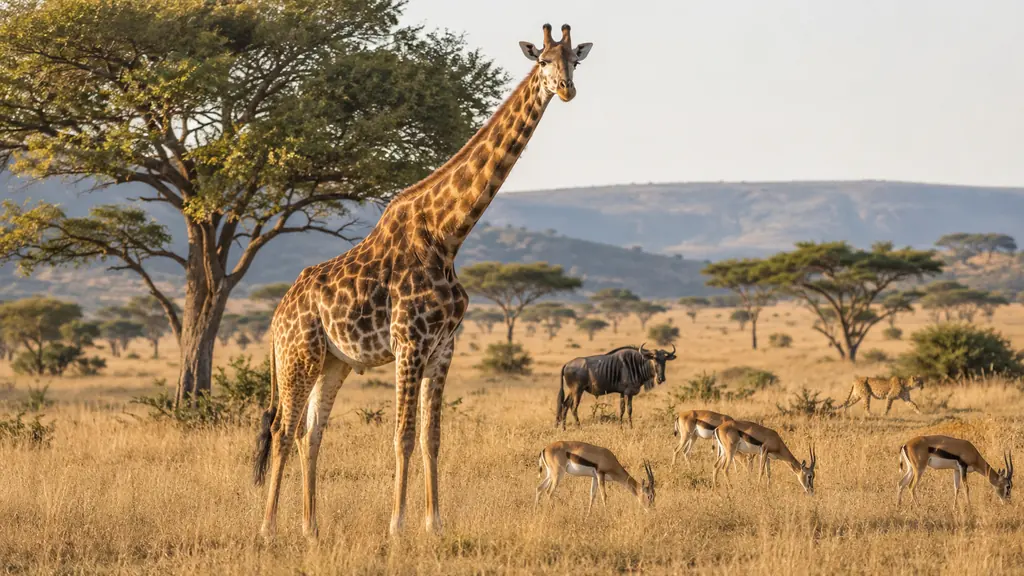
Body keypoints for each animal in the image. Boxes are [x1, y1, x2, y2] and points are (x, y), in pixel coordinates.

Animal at [252, 24, 593, 540]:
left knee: (312, 433)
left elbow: (433, 437)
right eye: (542, 61)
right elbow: (404, 436)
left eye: (574, 59)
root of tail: (277, 316)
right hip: (299, 356)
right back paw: (269, 527)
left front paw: (435, 523)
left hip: (334, 362)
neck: (446, 235)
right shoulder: (409, 344)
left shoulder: (442, 348)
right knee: (282, 430)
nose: (567, 89)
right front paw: (396, 525)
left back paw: (311, 528)